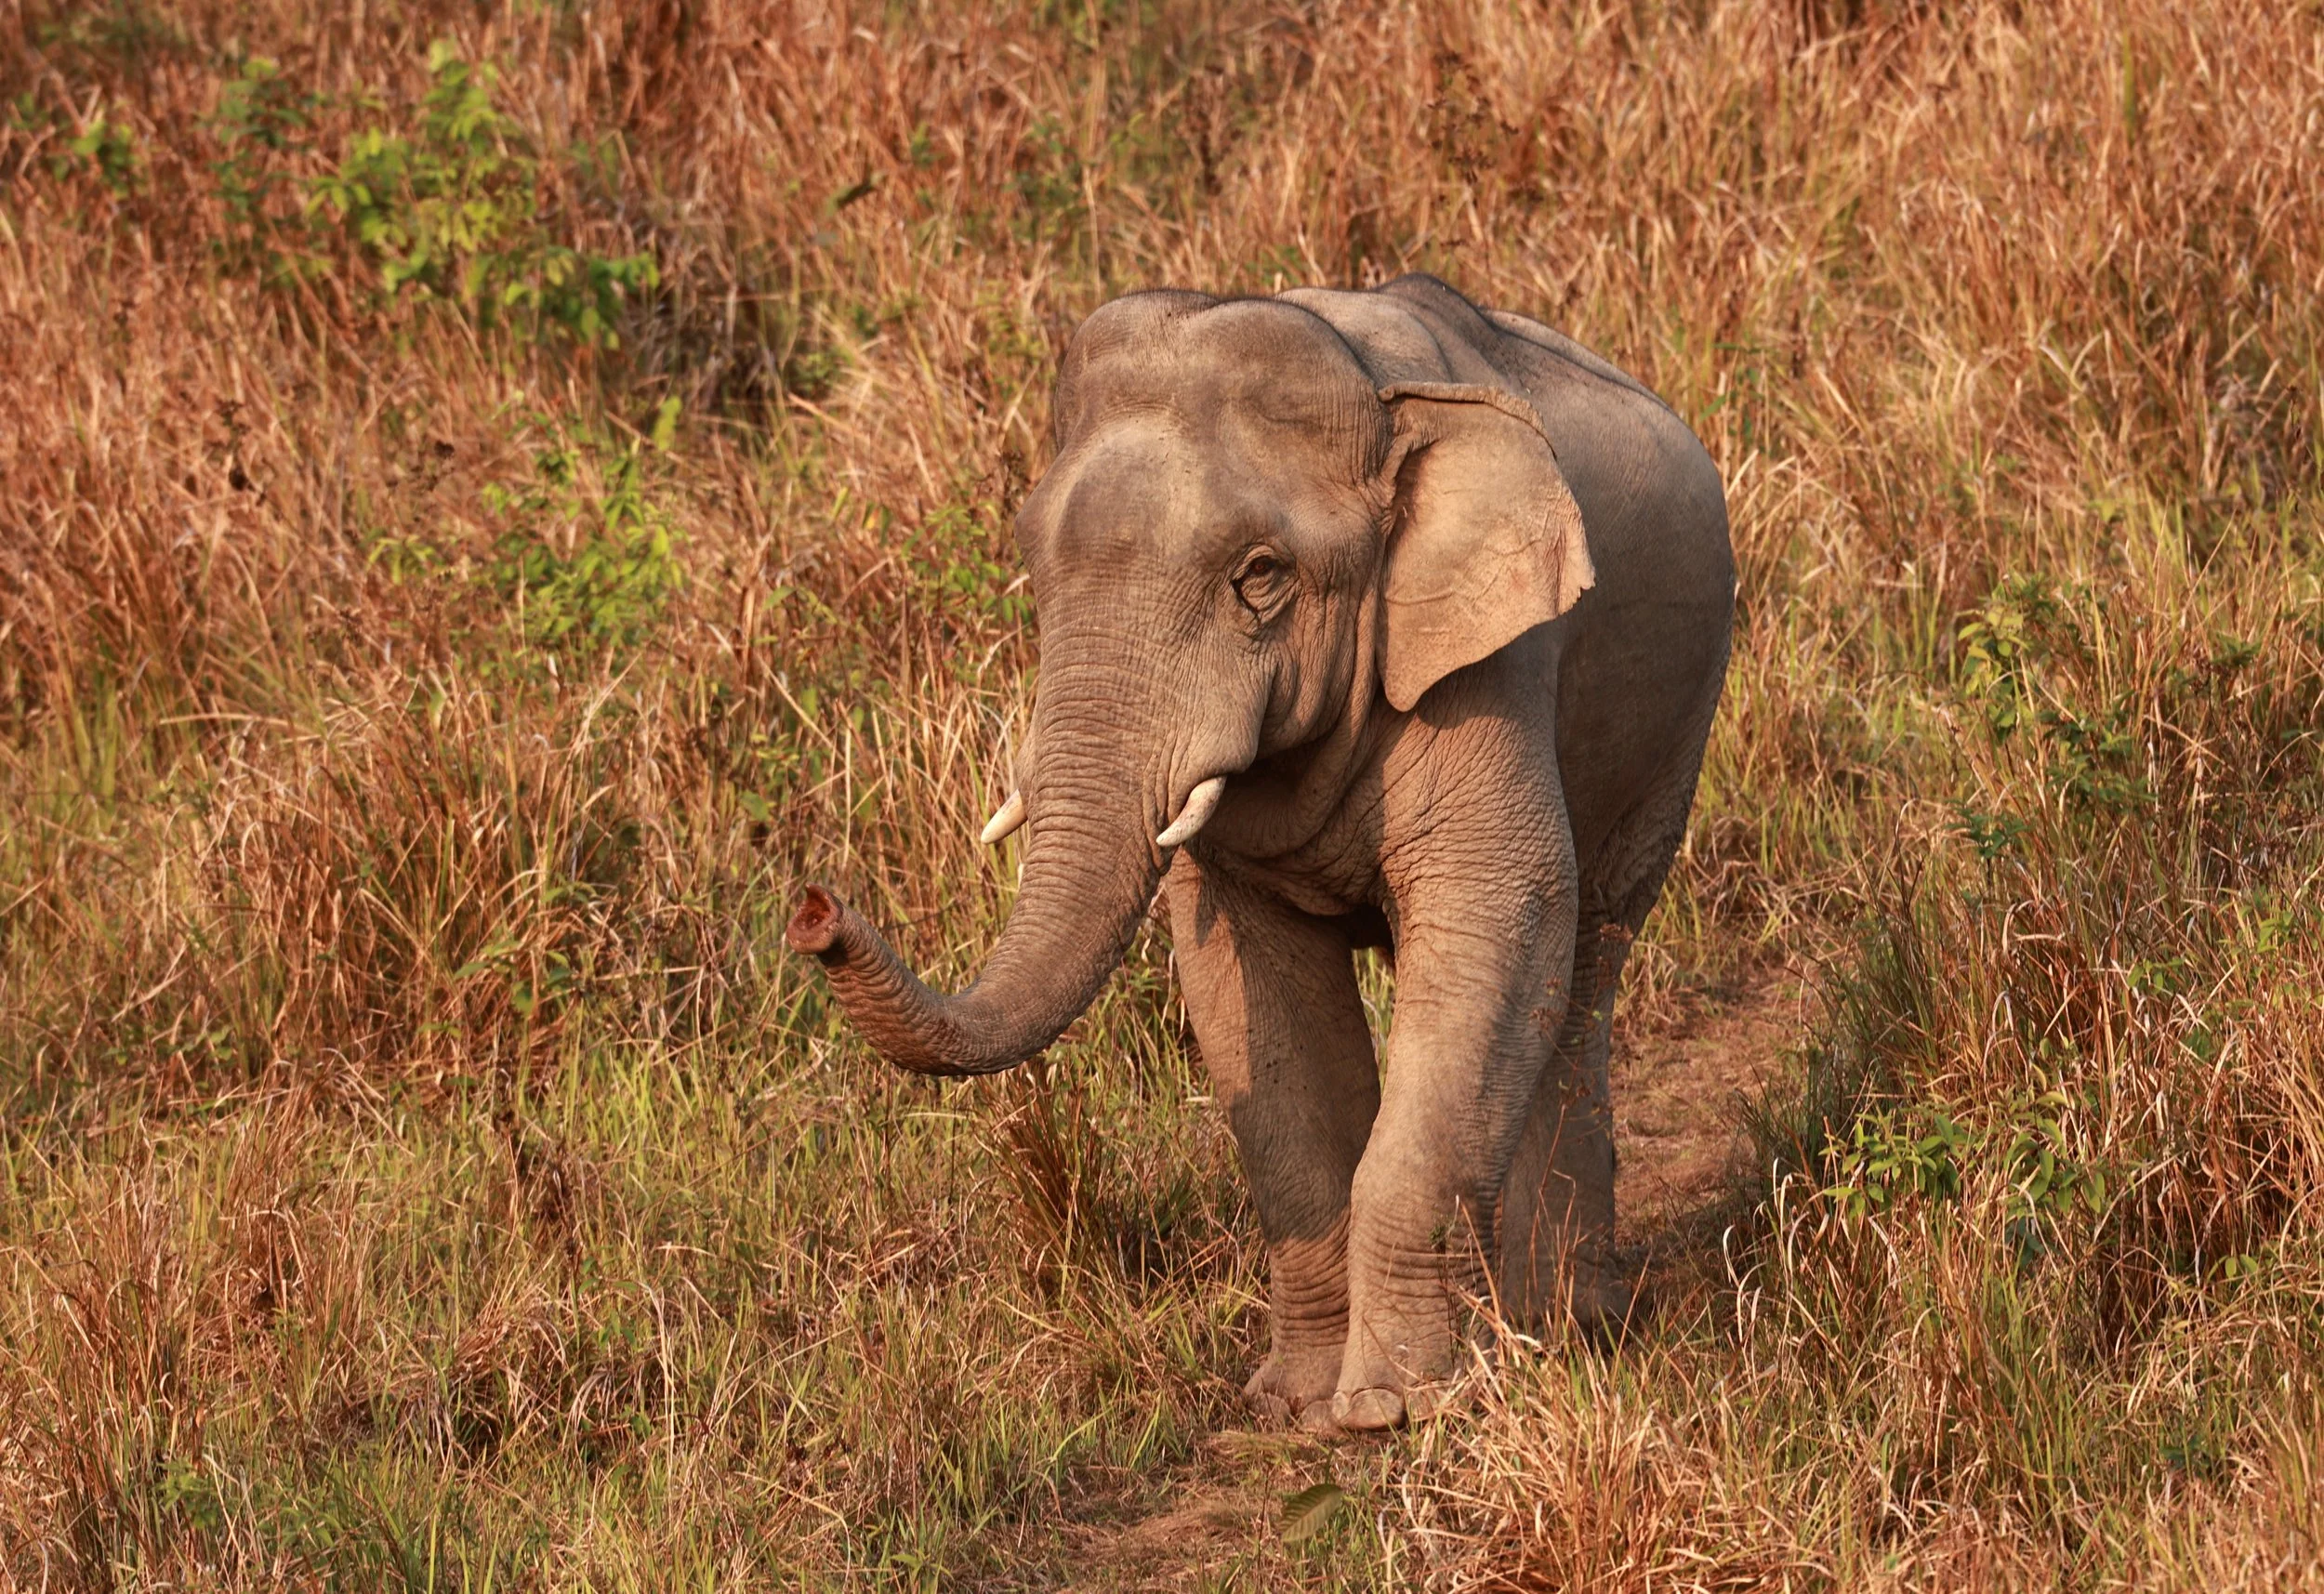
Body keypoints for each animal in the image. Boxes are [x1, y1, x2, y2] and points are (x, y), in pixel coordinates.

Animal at [787, 273, 1733, 1433]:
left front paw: (1395, 1408)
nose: (814, 907)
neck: (1372, 398)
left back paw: (1566, 1328)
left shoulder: (1493, 660)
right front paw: (1294, 1404)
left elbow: (1502, 909)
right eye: (1034, 570)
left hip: (1677, 726)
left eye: (1261, 576)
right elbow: (1244, 986)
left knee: (1583, 961)